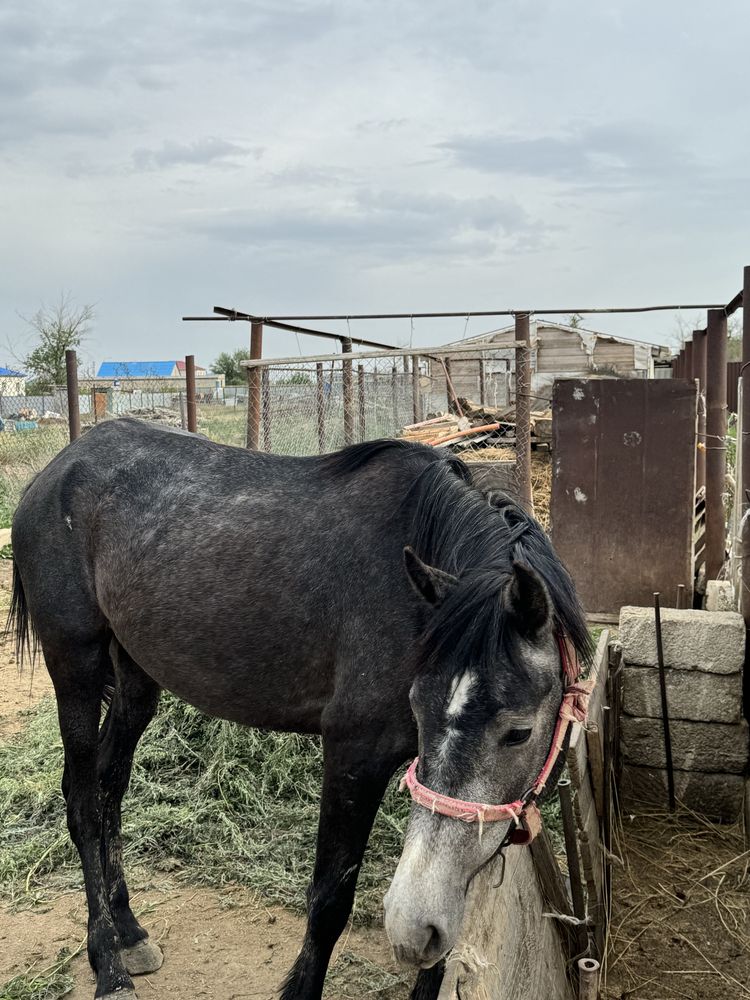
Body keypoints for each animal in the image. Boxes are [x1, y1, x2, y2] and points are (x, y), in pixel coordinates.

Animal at [7, 420, 592, 1000]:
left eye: (519, 732)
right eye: (418, 709)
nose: (410, 927)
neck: (407, 598)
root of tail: (56, 469)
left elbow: (453, 918)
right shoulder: (354, 752)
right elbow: (330, 899)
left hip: (135, 678)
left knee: (109, 786)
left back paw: (129, 930)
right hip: (76, 665)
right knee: (84, 801)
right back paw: (109, 965)